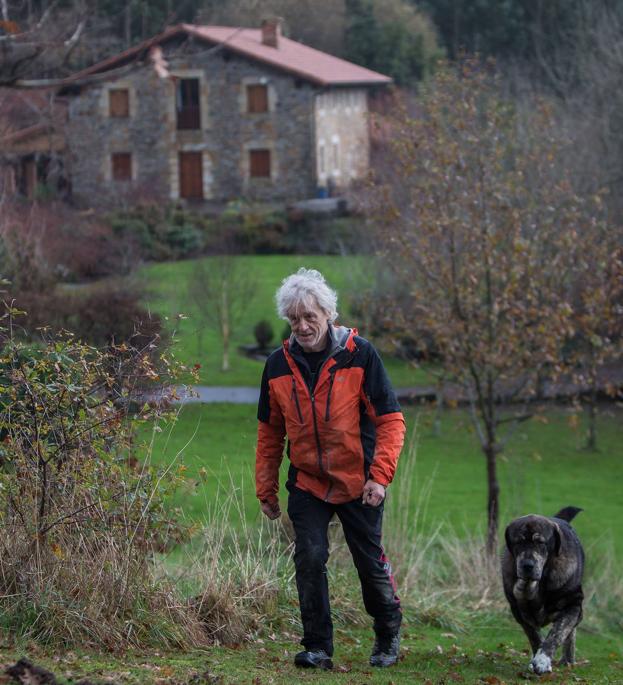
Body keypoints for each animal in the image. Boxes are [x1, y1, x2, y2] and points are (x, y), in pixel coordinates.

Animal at [502, 508, 584, 672]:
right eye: (518, 542)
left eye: (540, 542)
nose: (527, 565)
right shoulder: (519, 612)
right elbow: (534, 636)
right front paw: (536, 658)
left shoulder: (573, 604)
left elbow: (558, 633)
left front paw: (542, 660)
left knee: (570, 633)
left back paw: (567, 660)